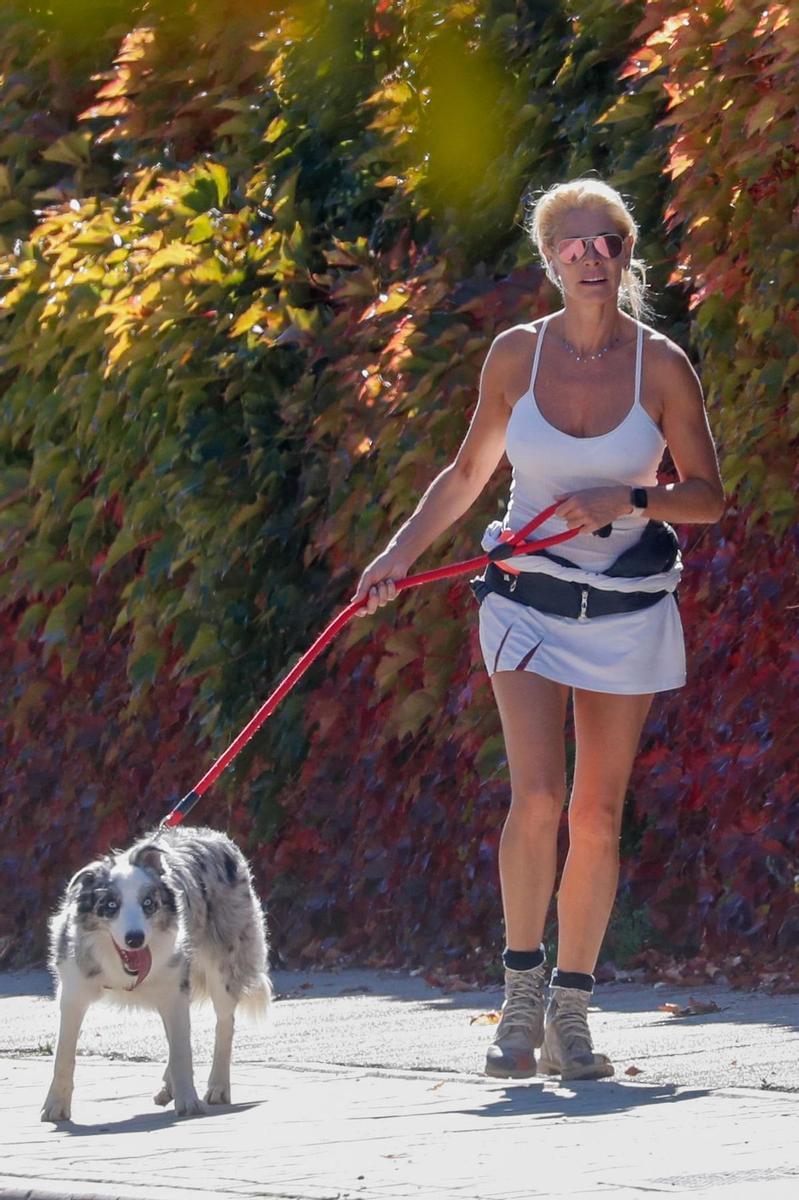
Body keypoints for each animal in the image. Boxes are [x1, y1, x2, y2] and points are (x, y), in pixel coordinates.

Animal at [40, 820, 271, 1118]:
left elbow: (183, 1050)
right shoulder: (73, 991)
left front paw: (189, 1101)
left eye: (148, 904)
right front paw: (56, 1105)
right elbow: (63, 1055)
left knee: (224, 1022)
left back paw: (218, 1086)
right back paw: (168, 1087)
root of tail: (214, 835)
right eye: (110, 906)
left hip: (223, 963)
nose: (135, 939)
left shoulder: (174, 990)